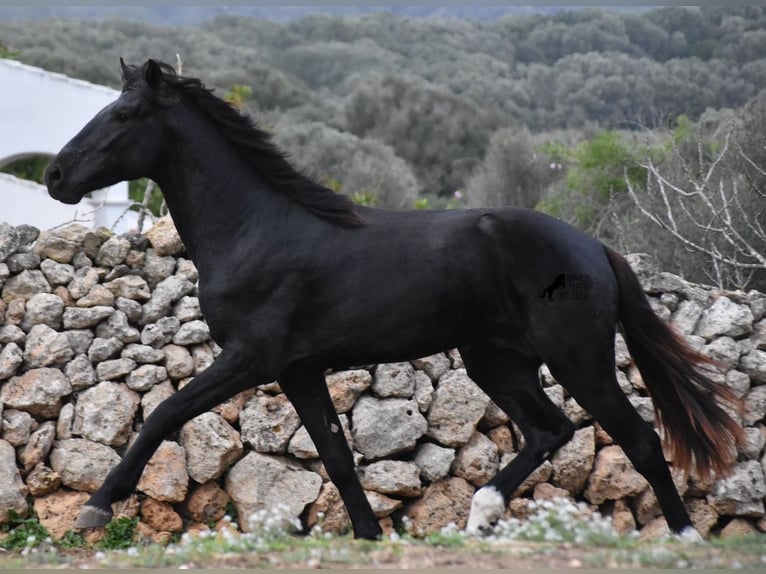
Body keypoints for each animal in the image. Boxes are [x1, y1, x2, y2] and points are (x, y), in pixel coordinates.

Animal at [46, 60, 744, 544]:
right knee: (552, 429)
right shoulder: (299, 371)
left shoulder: (250, 358)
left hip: (578, 358)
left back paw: (682, 539)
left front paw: (96, 506)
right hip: (496, 360)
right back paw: (482, 513)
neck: (255, 230)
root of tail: (594, 247)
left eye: (125, 116)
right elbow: (336, 457)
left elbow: (164, 414)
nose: (55, 176)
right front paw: (368, 535)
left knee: (639, 440)